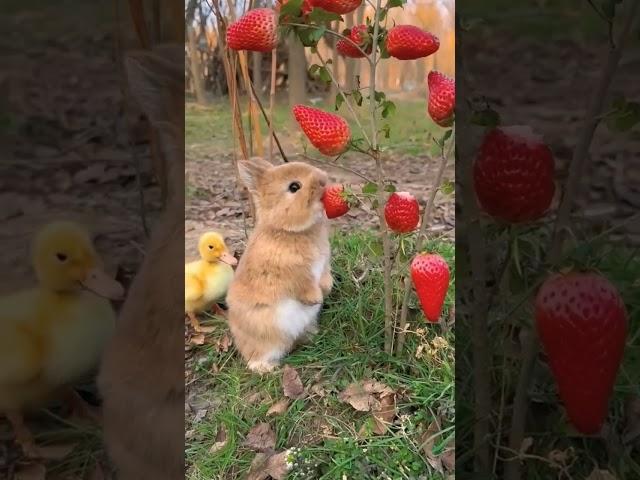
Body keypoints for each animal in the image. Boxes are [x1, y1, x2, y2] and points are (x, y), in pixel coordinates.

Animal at [226, 158, 336, 376]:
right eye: (294, 187)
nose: (324, 180)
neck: (288, 230)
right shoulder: (294, 275)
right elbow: (304, 286)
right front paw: (317, 298)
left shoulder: (323, 265)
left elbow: (325, 277)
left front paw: (327, 289)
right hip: (265, 336)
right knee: (256, 358)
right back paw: (268, 368)